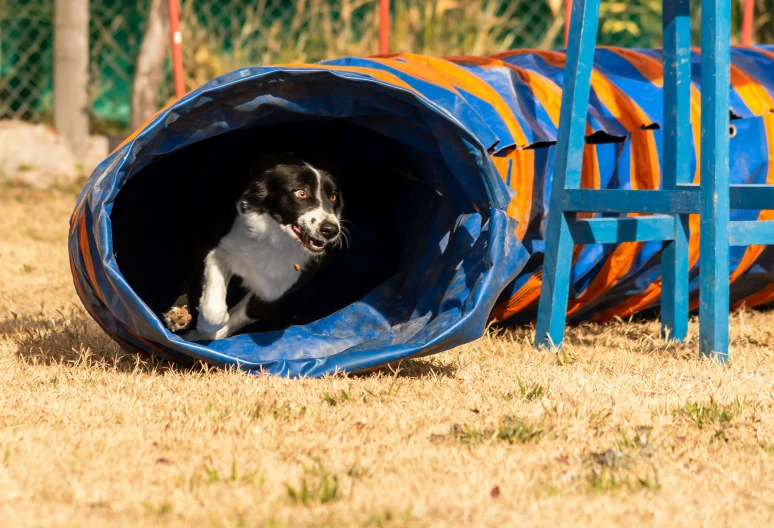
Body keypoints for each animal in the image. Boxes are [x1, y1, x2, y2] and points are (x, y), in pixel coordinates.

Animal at [163, 152, 346, 342]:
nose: (331, 230)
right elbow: (214, 313)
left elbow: (233, 321)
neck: (275, 241)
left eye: (333, 197)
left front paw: (196, 336)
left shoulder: (272, 294)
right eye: (301, 193)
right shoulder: (219, 250)